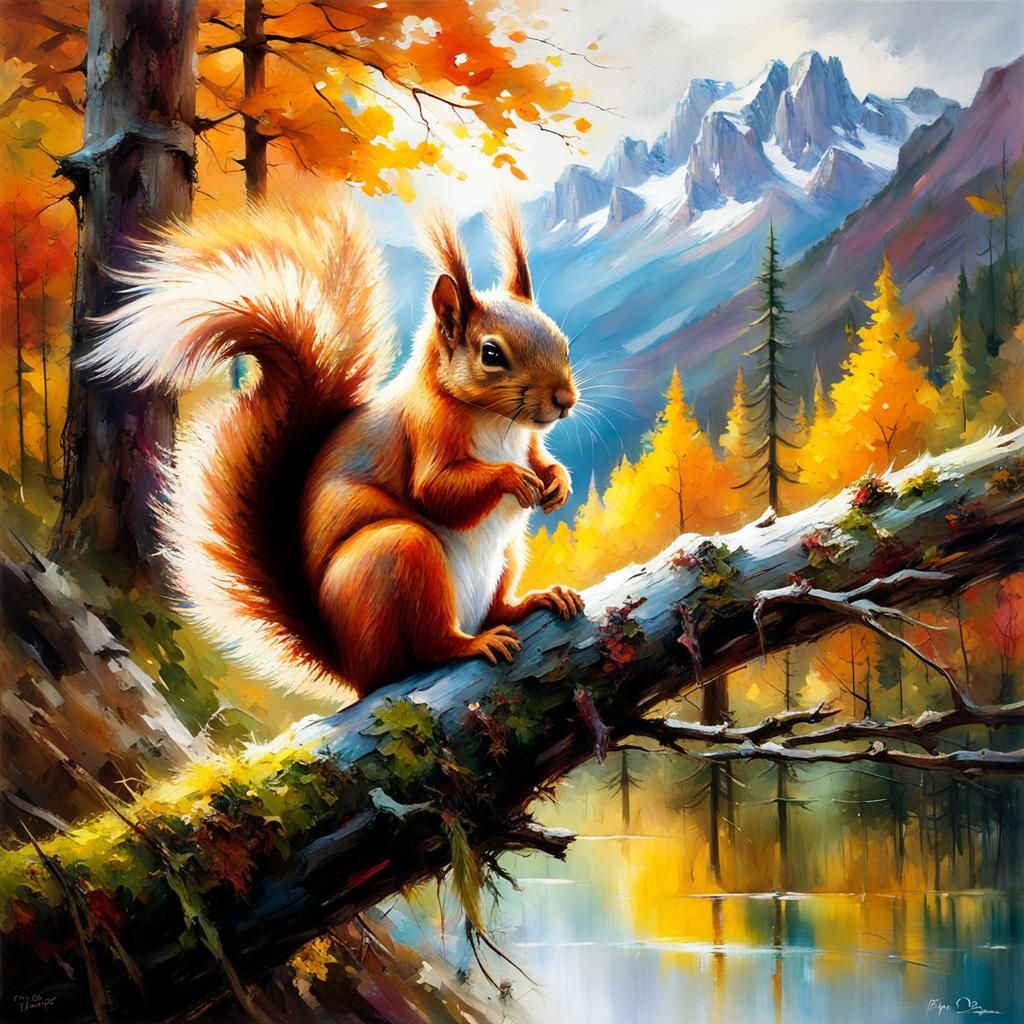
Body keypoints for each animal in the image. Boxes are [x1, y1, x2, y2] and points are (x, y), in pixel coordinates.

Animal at [82, 188, 584, 704]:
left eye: (562, 341)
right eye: (491, 354)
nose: (564, 400)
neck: (500, 423)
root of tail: (351, 668)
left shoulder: (528, 441)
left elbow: (541, 460)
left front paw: (556, 482)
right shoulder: (425, 432)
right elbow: (436, 493)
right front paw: (512, 478)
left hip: (506, 554)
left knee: (495, 607)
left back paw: (532, 602)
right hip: (397, 555)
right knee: (427, 645)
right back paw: (468, 644)